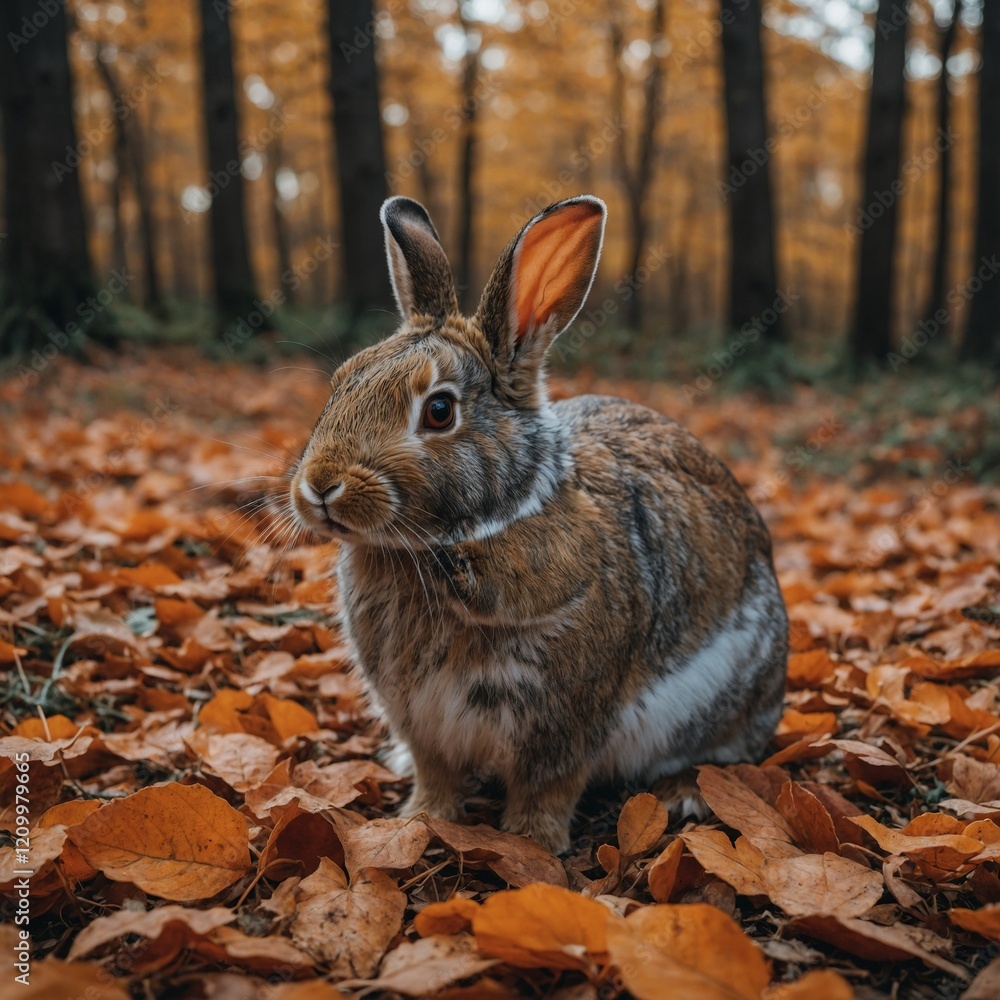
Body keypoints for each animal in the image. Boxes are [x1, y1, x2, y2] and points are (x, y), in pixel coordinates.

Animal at [289, 194, 789, 854]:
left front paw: (532, 842)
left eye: (439, 410)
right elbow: (435, 773)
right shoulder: (422, 719)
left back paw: (684, 792)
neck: (499, 516)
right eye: (344, 378)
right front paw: (419, 818)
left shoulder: (564, 719)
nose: (320, 486)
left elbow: (548, 786)